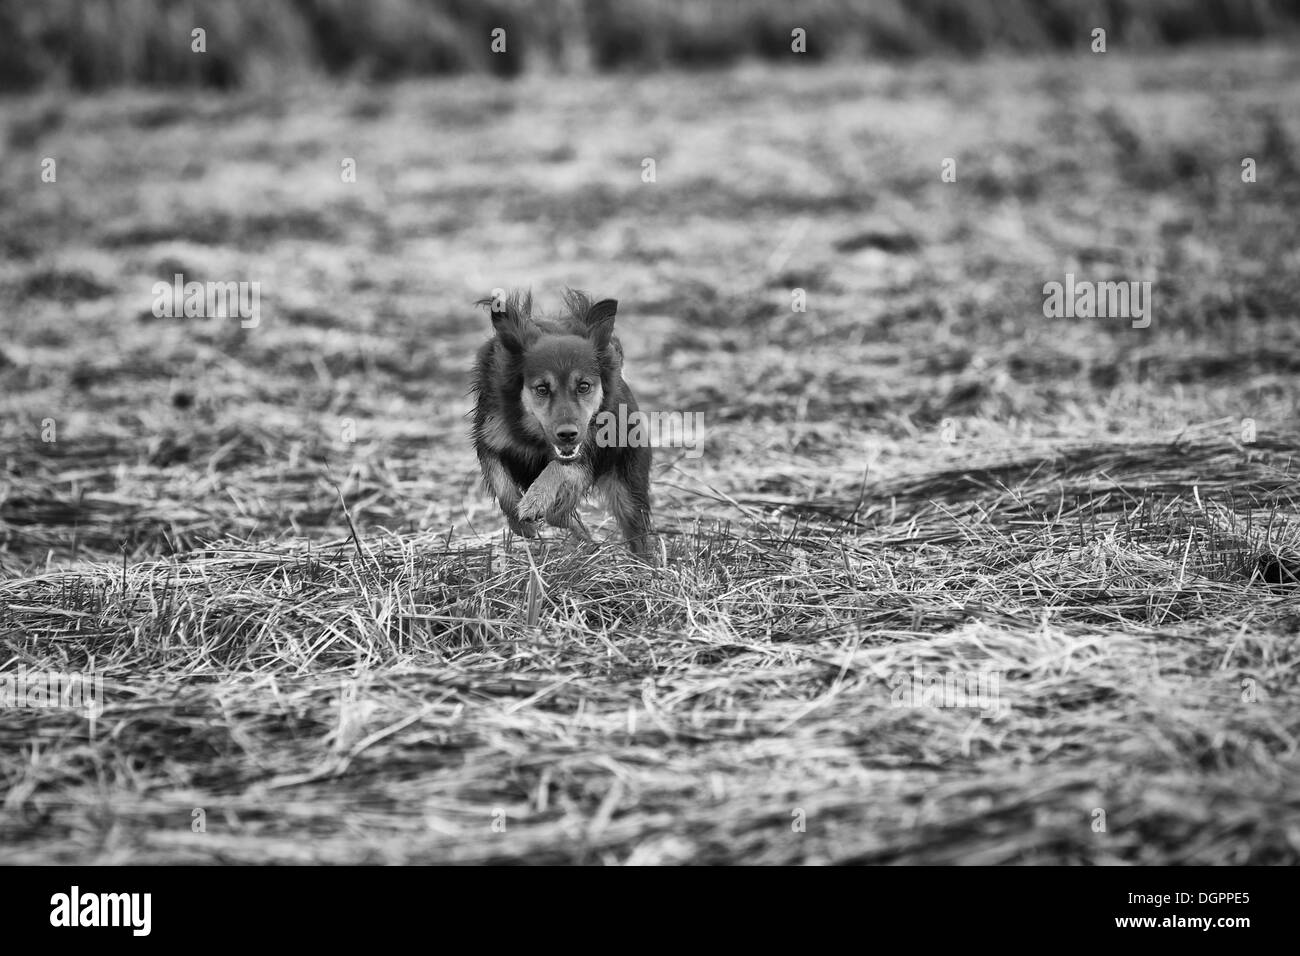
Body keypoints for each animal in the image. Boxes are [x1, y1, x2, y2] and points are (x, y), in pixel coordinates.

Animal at [467, 291, 650, 556]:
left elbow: (558, 467)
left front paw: (535, 499)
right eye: (542, 389)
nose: (567, 434)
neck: (535, 436)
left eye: (583, 386)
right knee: (563, 515)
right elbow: (501, 484)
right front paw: (521, 522)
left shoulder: (585, 453)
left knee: (635, 528)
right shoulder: (490, 439)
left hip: (627, 483)